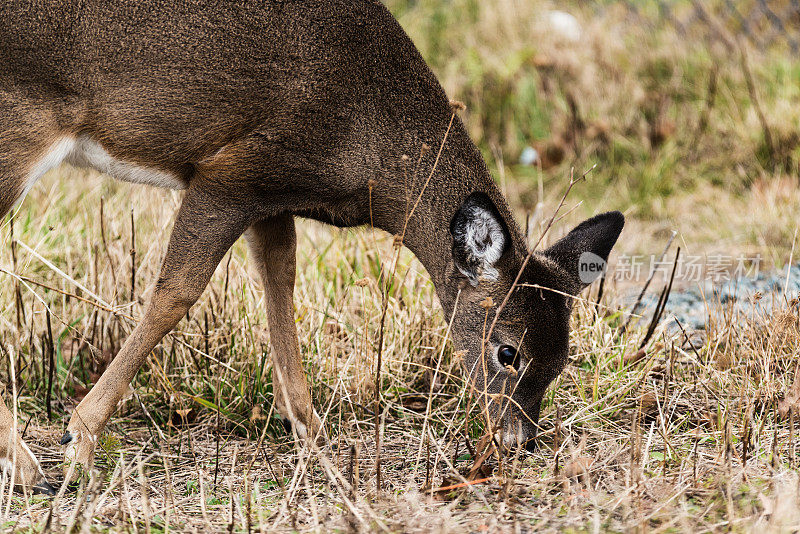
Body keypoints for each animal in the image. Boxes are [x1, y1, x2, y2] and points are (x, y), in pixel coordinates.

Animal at [0, 0, 624, 496]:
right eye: (507, 351)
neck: (370, 142)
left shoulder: (272, 199)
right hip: (18, 126)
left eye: (563, 359)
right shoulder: (232, 171)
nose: (519, 441)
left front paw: (318, 442)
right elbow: (177, 294)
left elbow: (281, 290)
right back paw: (27, 464)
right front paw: (80, 442)